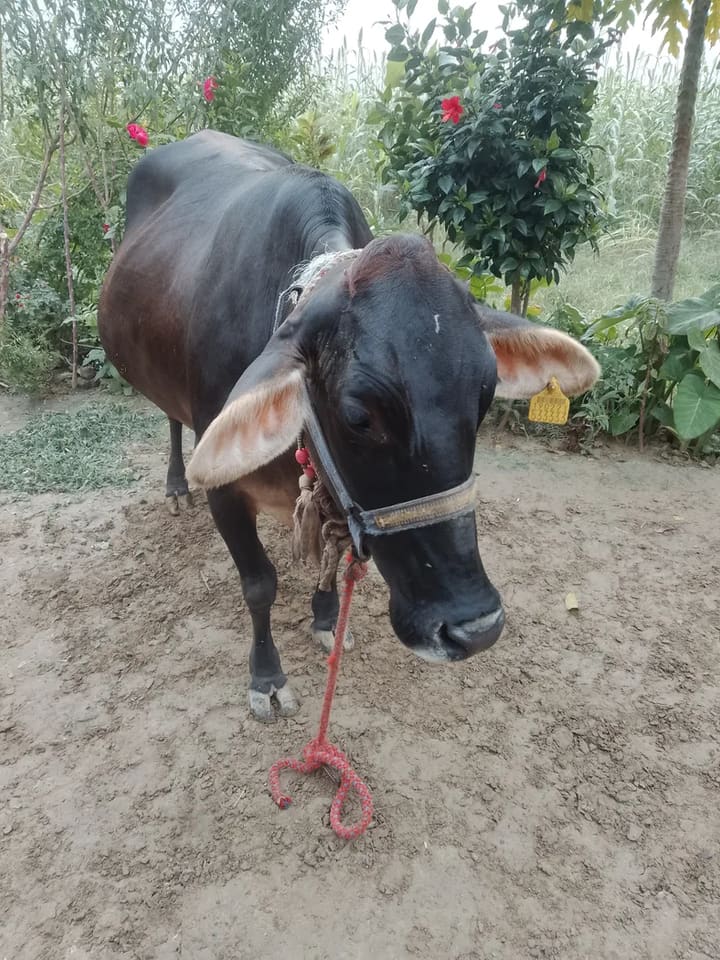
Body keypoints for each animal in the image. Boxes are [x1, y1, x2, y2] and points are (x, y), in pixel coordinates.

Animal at [99, 130, 599, 721]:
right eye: (360, 417)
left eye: (484, 396)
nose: (475, 628)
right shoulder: (226, 489)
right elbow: (259, 585)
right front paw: (267, 677)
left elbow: (331, 559)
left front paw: (324, 615)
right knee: (171, 420)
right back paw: (177, 484)